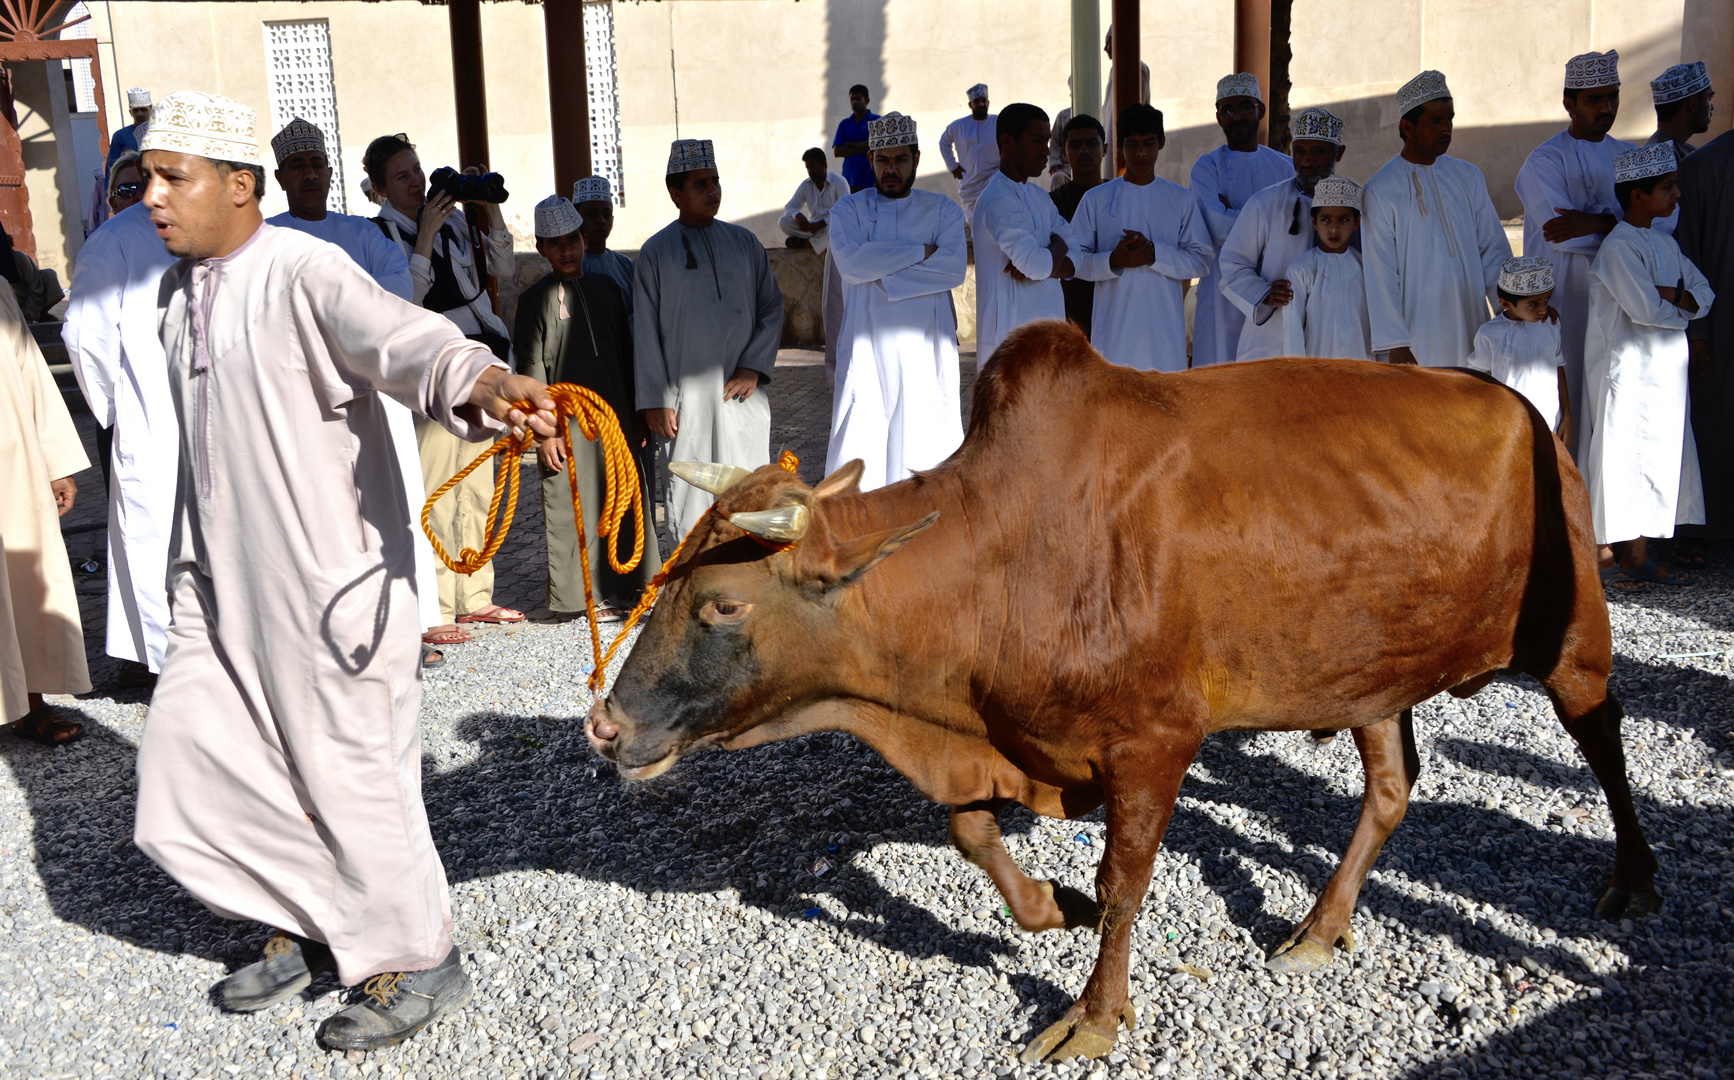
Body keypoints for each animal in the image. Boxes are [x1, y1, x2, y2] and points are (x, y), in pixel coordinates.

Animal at [589, 320, 1657, 1067]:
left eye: (723, 605)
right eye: (667, 582)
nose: (604, 723)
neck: (1001, 556)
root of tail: (1515, 401)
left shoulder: (1154, 743)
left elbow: (1123, 883)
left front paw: (1096, 1016)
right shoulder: (1000, 742)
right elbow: (974, 833)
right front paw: (1046, 904)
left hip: (1571, 637)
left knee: (1603, 735)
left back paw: (1634, 879)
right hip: (1372, 678)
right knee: (1391, 788)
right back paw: (1320, 927)